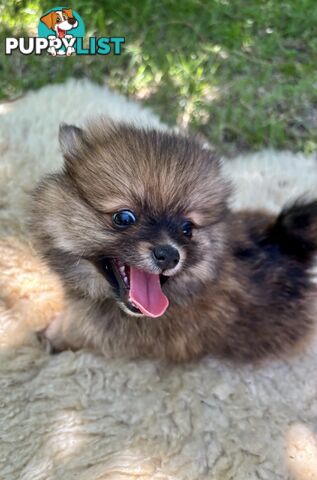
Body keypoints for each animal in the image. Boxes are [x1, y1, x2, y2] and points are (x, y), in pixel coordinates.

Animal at [30, 118, 316, 362]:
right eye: (124, 217)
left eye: (187, 228)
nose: (169, 254)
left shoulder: (98, 335)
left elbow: (74, 332)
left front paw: (52, 338)